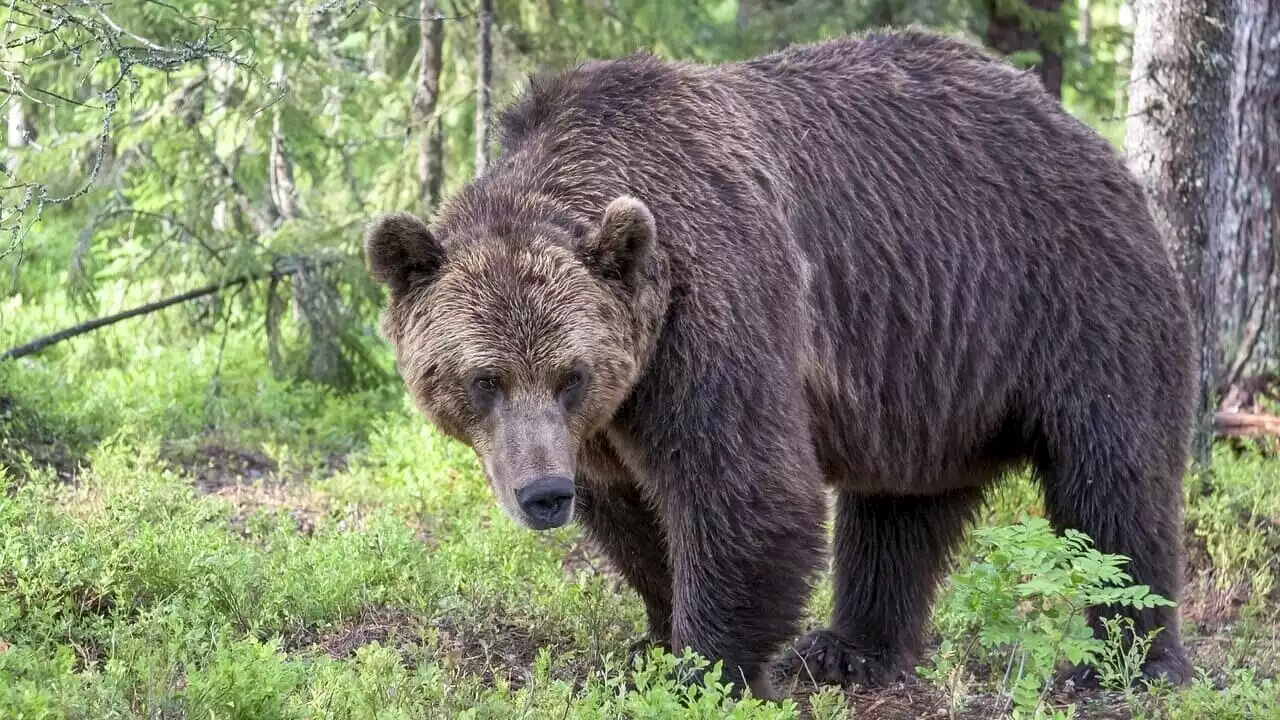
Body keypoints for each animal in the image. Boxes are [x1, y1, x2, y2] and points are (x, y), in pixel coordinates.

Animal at [363, 26, 1198, 696]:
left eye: (571, 374)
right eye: (484, 379)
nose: (543, 495)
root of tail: (1087, 134)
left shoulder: (713, 310)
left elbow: (745, 488)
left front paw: (707, 668)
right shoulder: (611, 413)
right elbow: (631, 512)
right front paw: (653, 638)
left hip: (1075, 300)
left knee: (1114, 484)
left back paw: (1125, 662)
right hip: (928, 373)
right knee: (899, 511)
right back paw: (850, 650)